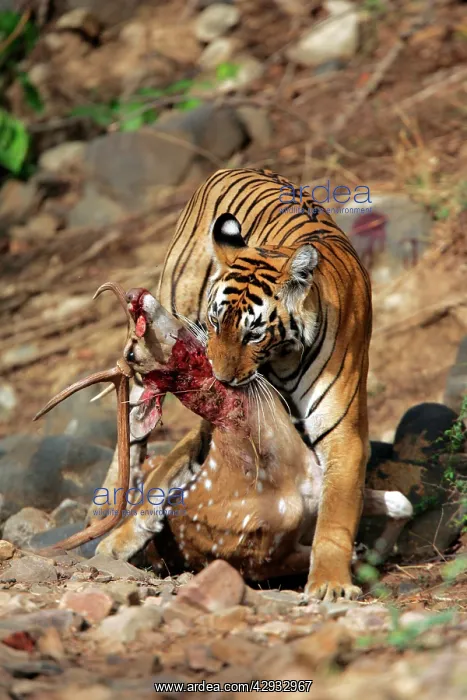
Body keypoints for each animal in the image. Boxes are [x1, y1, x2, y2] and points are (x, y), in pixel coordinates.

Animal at [34, 283, 414, 599]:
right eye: (131, 353)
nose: (132, 296)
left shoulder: (320, 482)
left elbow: (401, 502)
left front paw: (379, 550)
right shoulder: (261, 557)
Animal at [158, 167, 372, 601]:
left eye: (253, 334)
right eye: (214, 322)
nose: (221, 377)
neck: (283, 357)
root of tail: (233, 168)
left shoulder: (344, 434)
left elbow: (335, 514)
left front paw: (329, 583)